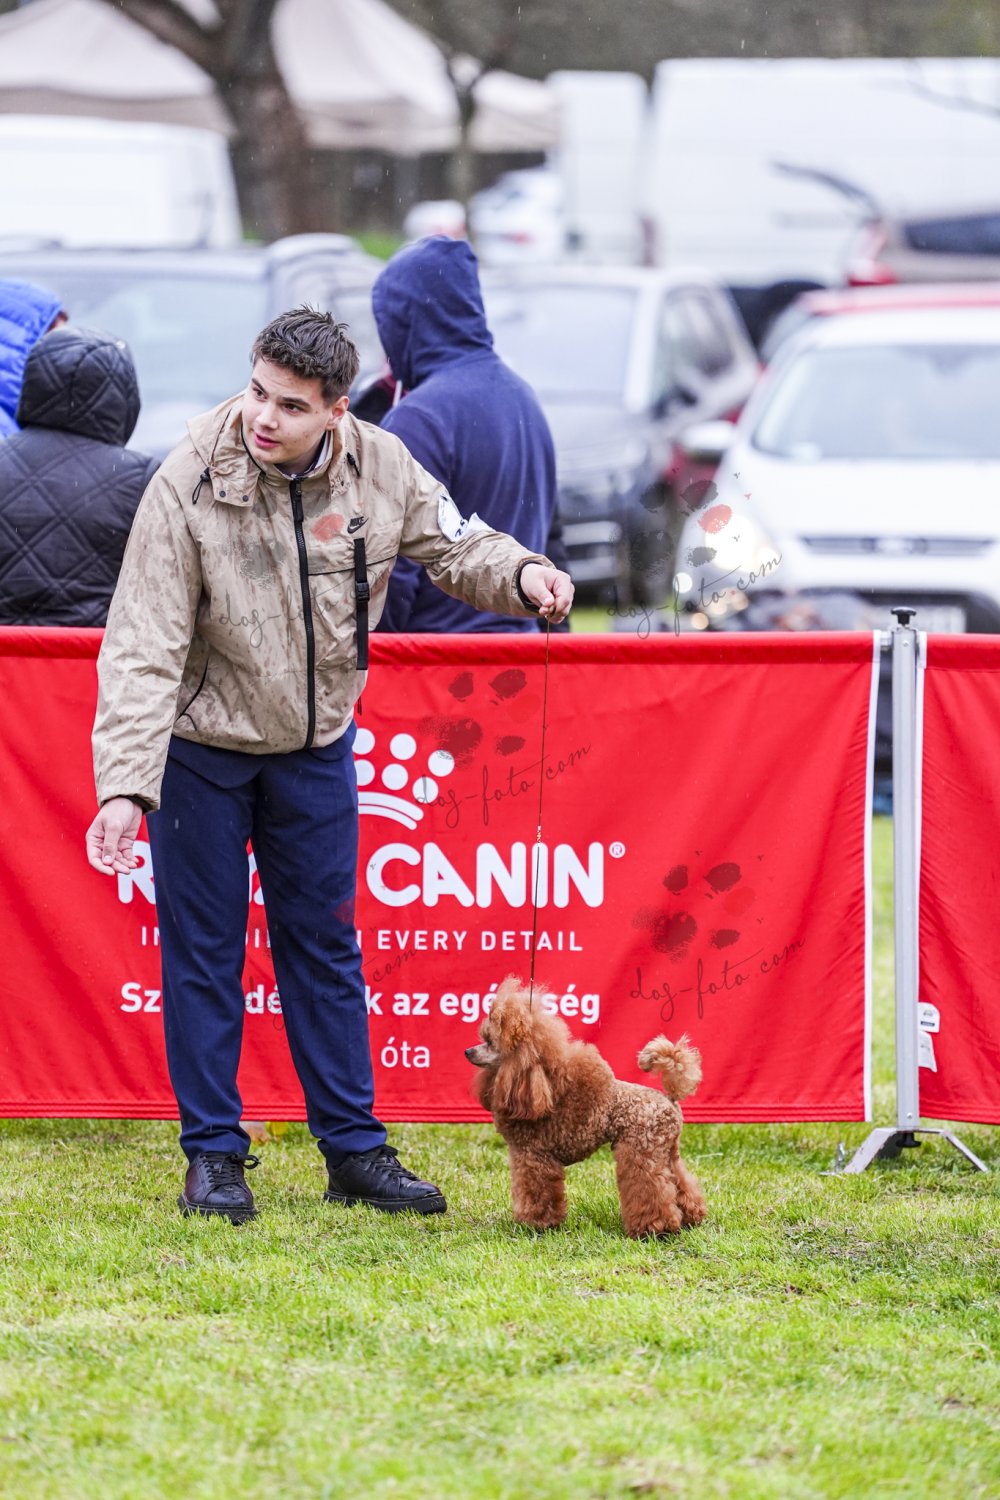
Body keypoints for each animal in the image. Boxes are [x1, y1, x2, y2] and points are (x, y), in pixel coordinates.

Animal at [465, 977, 707, 1237]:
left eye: (490, 1042)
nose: (467, 1051)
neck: (541, 1083)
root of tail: (669, 1099)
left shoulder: (533, 1157)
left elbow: (536, 1193)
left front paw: (535, 1224)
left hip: (642, 1151)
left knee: (653, 1188)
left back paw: (655, 1228)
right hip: (667, 1152)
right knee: (681, 1184)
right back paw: (691, 1217)